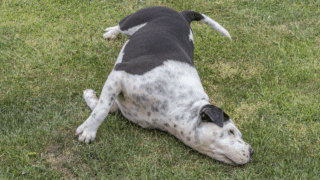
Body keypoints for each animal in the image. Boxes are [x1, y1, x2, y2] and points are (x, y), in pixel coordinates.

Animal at [76, 6, 254, 165]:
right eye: (231, 131)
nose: (252, 151)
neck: (181, 106)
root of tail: (182, 14)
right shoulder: (119, 74)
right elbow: (101, 110)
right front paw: (89, 131)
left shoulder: (121, 99)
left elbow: (106, 107)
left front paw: (89, 97)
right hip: (133, 21)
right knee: (120, 26)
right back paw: (112, 32)